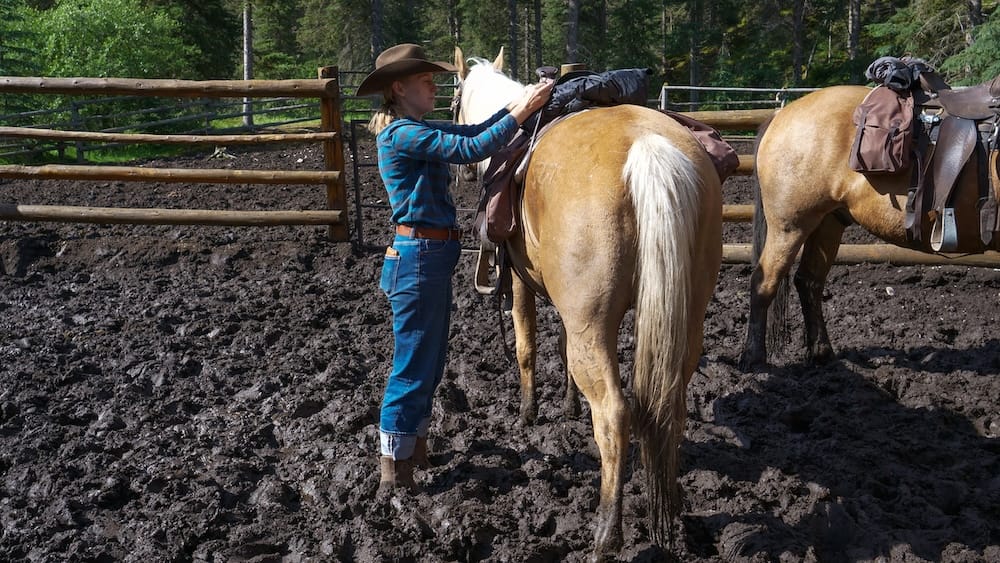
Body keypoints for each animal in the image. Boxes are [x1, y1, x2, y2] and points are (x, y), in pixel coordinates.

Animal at [452, 47, 723, 558]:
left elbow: (527, 347)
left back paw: (605, 532)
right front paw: (569, 406)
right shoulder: (569, 310)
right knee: (670, 405)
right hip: (686, 320)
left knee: (615, 414)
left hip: (592, 326)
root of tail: (648, 149)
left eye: (453, 99)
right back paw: (670, 503)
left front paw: (529, 412)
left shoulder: (521, 282)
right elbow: (560, 352)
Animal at [739, 84, 1000, 369]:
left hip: (828, 223)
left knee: (809, 282)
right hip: (790, 227)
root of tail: (780, 115)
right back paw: (753, 357)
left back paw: (822, 354)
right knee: (764, 283)